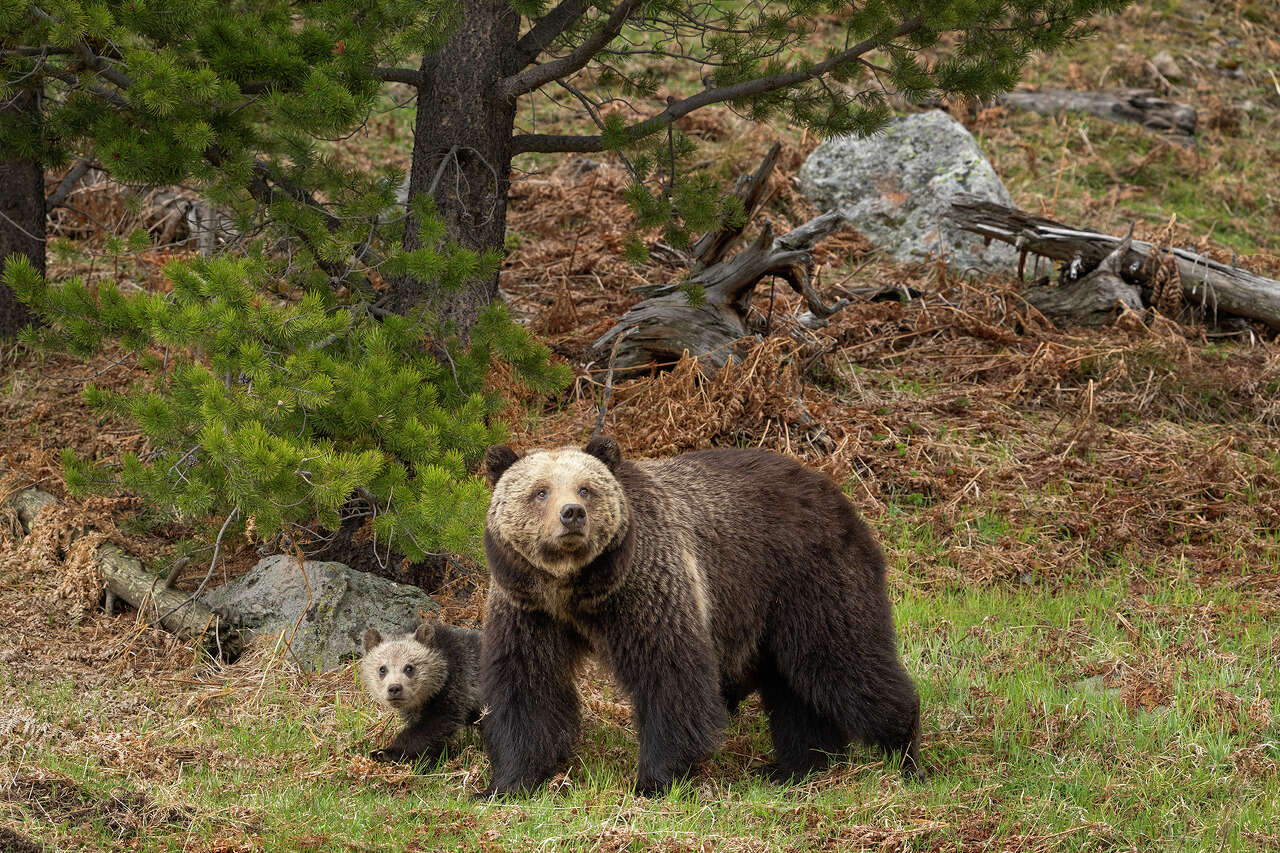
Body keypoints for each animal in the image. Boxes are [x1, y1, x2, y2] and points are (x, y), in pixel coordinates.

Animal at [358, 621, 483, 765]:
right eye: (382, 669)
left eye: (409, 668)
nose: (394, 688)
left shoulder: (457, 686)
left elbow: (433, 726)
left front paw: (385, 752)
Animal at [478, 436, 922, 797]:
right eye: (540, 491)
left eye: (585, 489)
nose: (572, 514)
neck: (574, 590)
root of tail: (831, 487)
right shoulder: (528, 610)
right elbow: (527, 688)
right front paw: (508, 783)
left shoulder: (646, 590)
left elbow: (671, 677)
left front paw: (655, 779)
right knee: (795, 688)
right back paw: (796, 767)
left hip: (809, 578)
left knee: (843, 662)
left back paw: (904, 752)